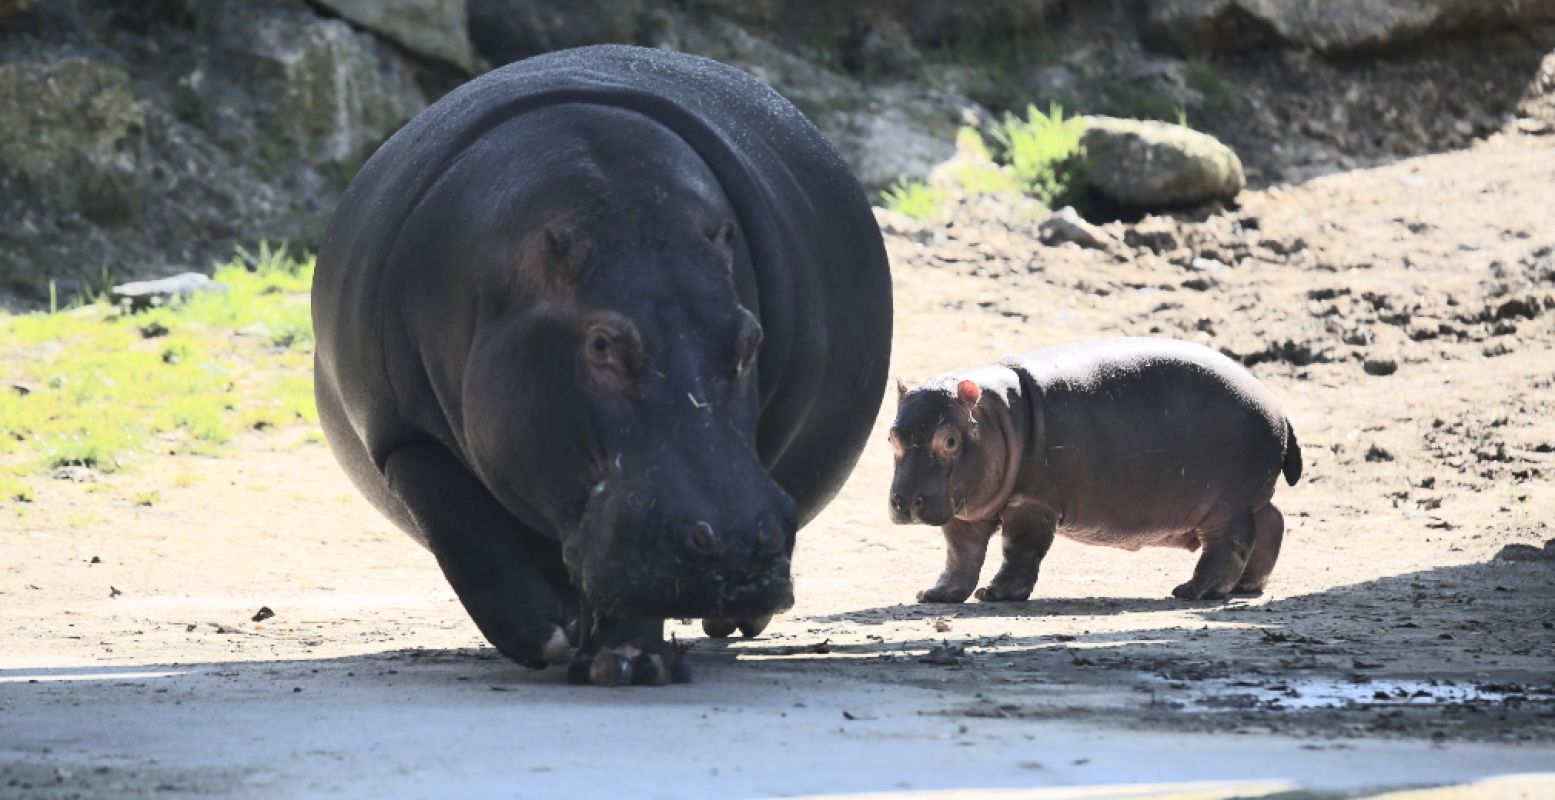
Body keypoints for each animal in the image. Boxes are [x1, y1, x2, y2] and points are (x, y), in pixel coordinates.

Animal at [314, 43, 895, 681]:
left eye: (750, 338)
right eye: (600, 344)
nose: (736, 542)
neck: (624, 212)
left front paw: (629, 664)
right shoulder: (401, 437)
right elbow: (465, 537)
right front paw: (550, 637)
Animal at [889, 333, 1299, 600]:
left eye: (949, 440)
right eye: (891, 436)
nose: (904, 502)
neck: (996, 416)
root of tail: (1278, 408)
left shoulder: (1031, 503)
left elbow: (1019, 550)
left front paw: (996, 594)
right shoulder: (967, 511)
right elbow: (961, 554)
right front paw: (934, 594)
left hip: (1227, 504)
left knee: (1231, 542)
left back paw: (1194, 591)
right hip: (1249, 497)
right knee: (1272, 522)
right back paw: (1247, 585)